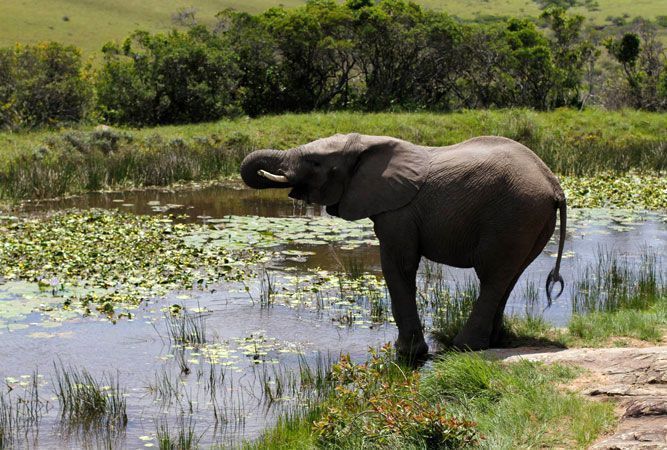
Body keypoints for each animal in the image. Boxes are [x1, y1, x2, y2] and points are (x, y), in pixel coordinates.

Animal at [240, 133, 566, 360]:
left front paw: (407, 354)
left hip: (512, 215)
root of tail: (554, 185)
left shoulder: (399, 212)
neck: (367, 143)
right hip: (529, 222)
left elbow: (398, 265)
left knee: (493, 276)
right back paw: (492, 342)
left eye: (315, 163)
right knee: (509, 276)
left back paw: (463, 347)